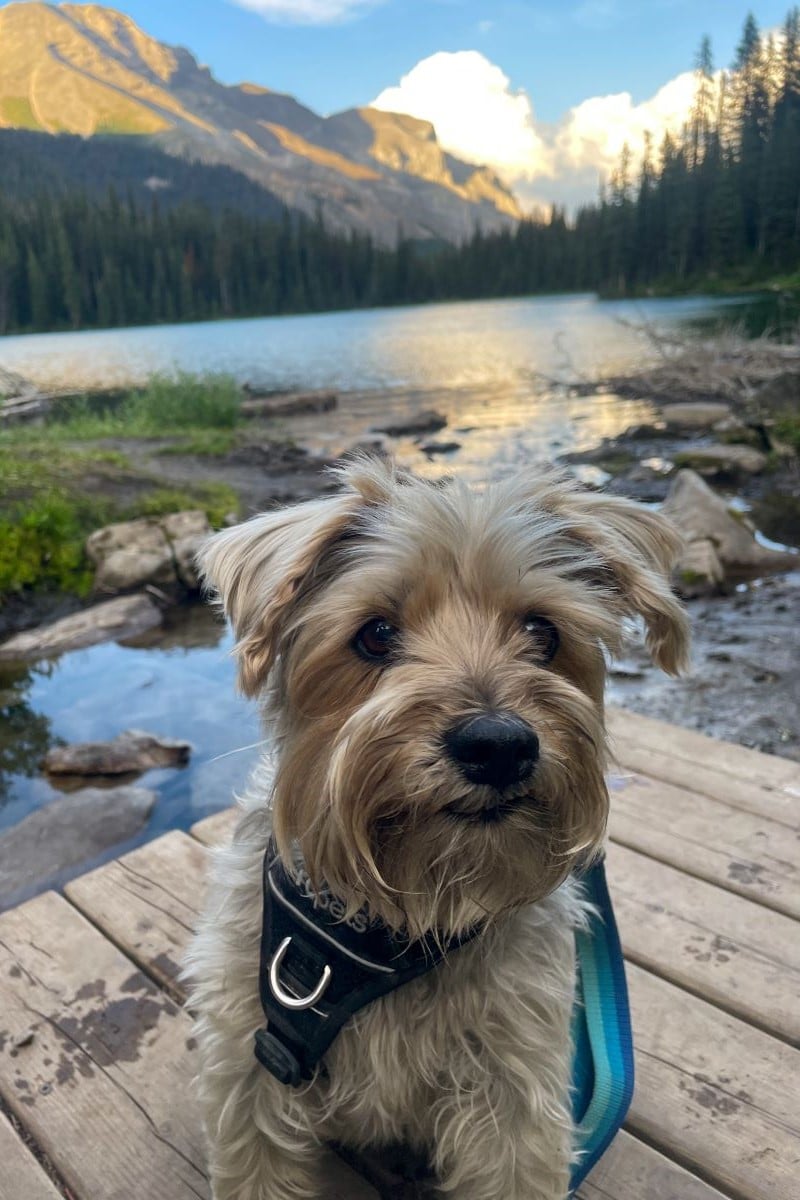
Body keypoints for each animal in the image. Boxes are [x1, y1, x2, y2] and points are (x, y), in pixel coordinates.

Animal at [185, 456, 690, 1200]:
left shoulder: (512, 1090)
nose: (498, 744)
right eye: (374, 634)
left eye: (543, 633)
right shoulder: (251, 1068)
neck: (403, 914)